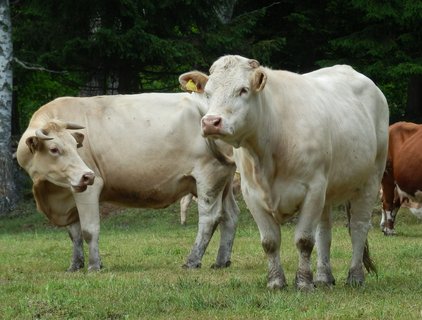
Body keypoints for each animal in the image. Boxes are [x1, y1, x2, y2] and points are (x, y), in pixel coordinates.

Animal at [15, 91, 241, 272]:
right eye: (54, 149)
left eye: (75, 145)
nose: (86, 175)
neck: (49, 190)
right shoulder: (68, 193)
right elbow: (74, 233)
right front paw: (75, 265)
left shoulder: (89, 188)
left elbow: (89, 229)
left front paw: (94, 265)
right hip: (223, 180)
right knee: (229, 216)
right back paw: (221, 261)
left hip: (208, 176)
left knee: (209, 218)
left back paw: (192, 261)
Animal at [180, 55, 388, 290]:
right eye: (208, 92)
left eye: (243, 90)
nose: (210, 122)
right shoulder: (252, 194)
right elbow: (270, 242)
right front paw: (276, 281)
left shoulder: (313, 189)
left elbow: (304, 240)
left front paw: (304, 283)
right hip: (328, 190)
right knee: (325, 231)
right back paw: (323, 278)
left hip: (371, 179)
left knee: (359, 227)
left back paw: (355, 277)